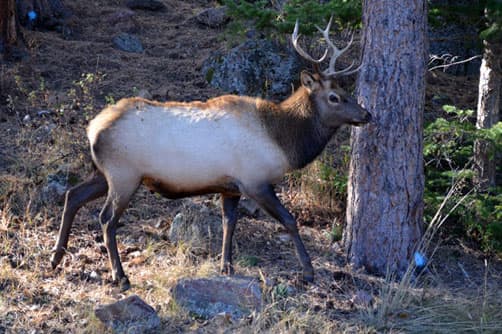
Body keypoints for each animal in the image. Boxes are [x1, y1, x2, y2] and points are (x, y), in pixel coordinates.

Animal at [51, 17, 370, 290]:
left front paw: (226, 266)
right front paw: (308, 271)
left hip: (103, 172)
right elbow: (289, 220)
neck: (282, 142)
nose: (366, 114)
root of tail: (93, 128)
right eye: (335, 97)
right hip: (123, 174)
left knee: (72, 195)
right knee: (106, 219)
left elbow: (229, 223)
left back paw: (56, 256)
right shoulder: (255, 180)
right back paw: (120, 275)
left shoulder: (230, 186)